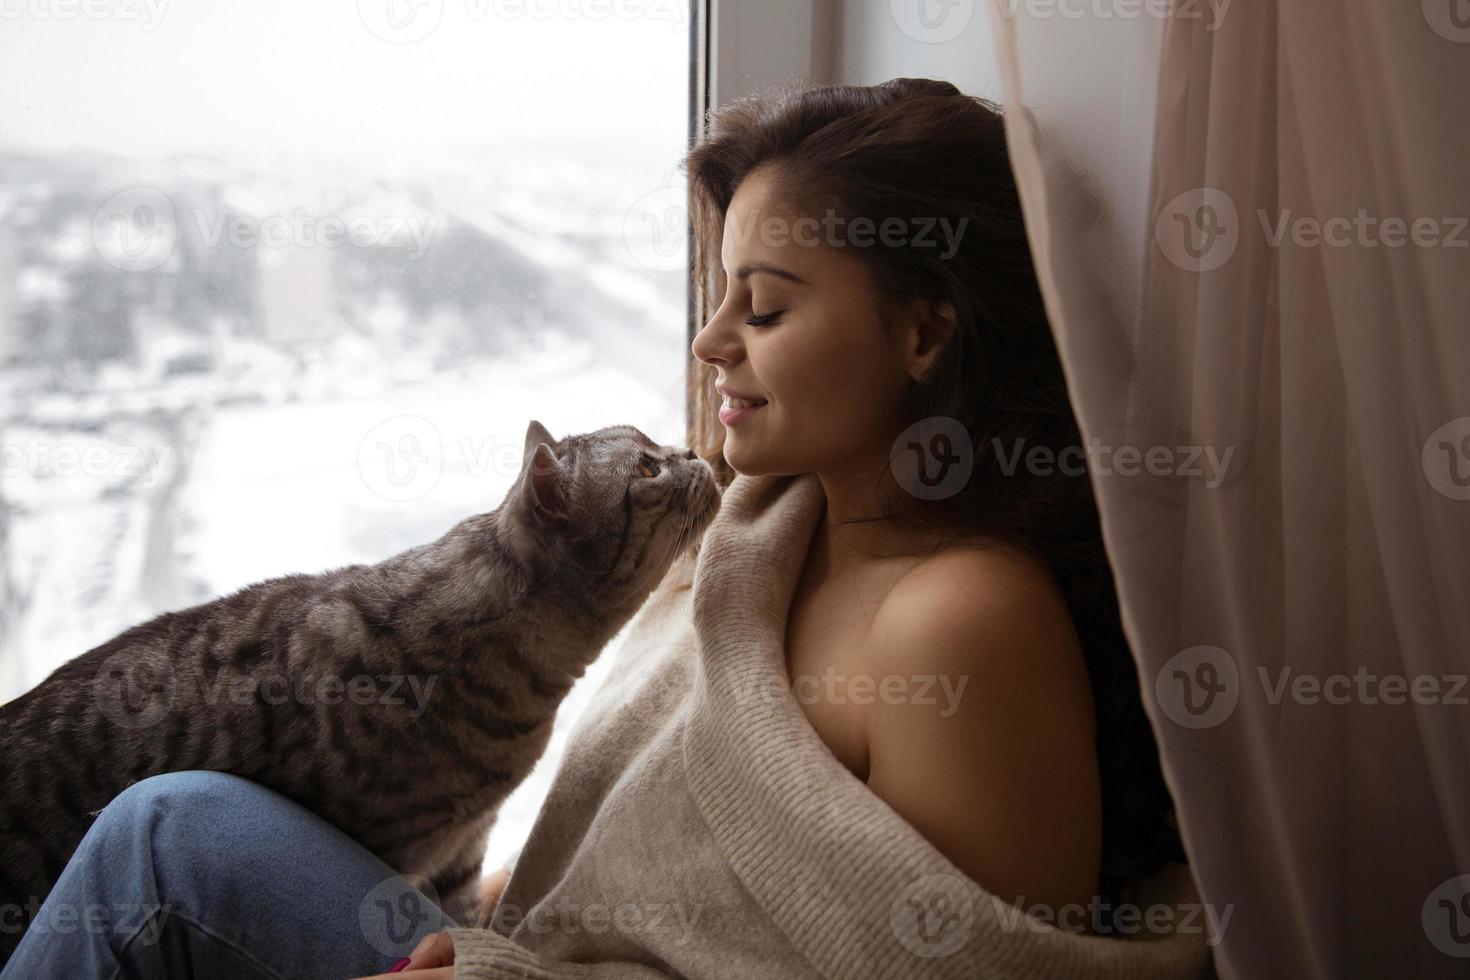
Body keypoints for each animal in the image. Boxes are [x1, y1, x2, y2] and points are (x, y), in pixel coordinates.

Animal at [0, 417, 717, 963]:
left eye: (660, 449)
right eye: (646, 468)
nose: (693, 452)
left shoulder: (464, 850)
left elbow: (462, 919)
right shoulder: (401, 851)